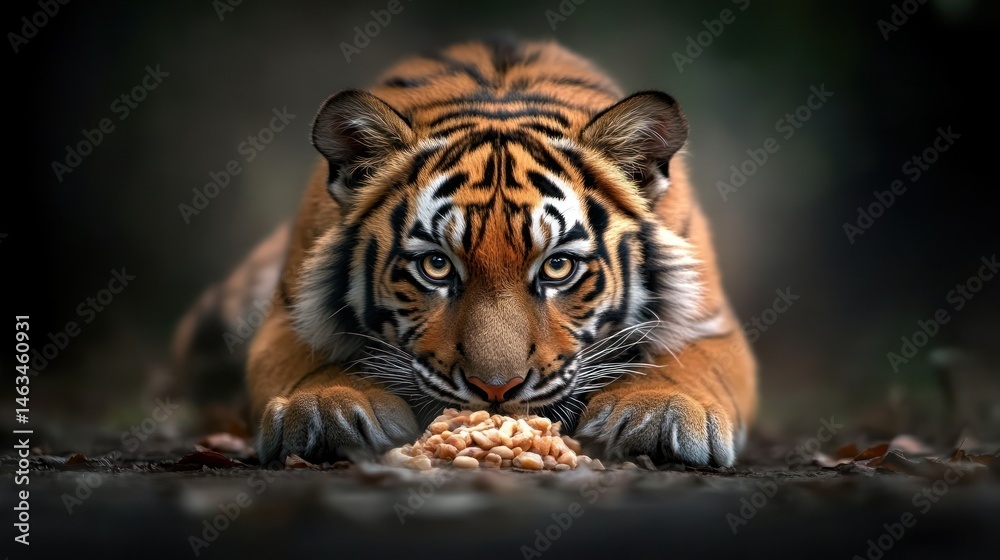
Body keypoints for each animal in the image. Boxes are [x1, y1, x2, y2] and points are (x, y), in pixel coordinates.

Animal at [176, 38, 757, 467]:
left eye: (558, 266)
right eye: (436, 265)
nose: (495, 391)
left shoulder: (712, 323)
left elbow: (692, 364)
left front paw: (662, 412)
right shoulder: (286, 316)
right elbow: (301, 359)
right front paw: (327, 406)